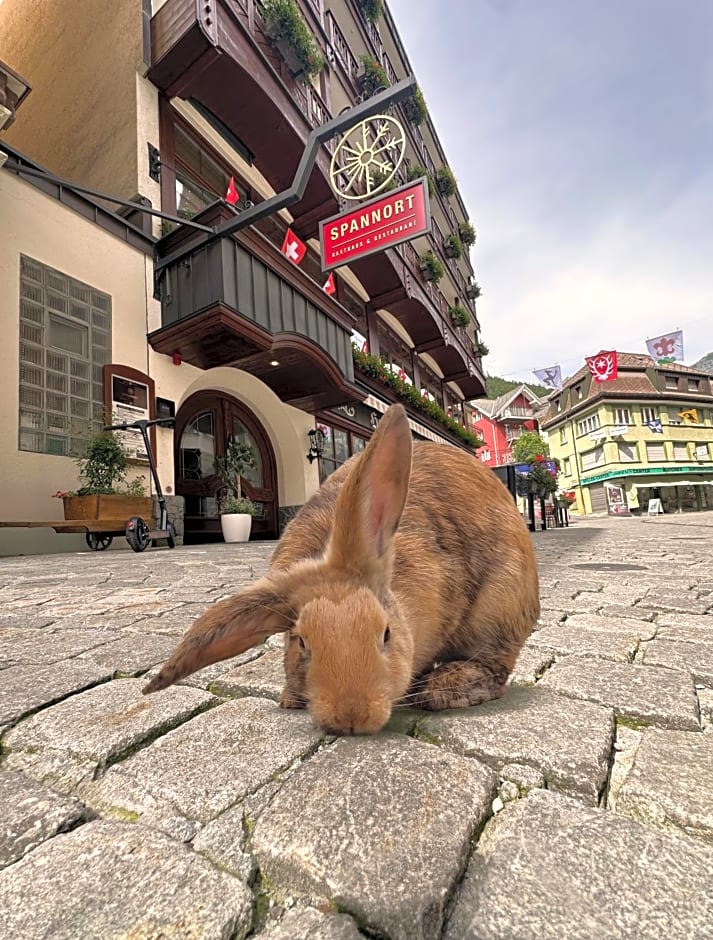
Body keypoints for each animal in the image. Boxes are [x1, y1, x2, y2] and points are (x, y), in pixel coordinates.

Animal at [142, 404, 536, 736]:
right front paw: (290, 698)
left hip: (499, 607)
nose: (352, 717)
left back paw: (444, 687)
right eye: (301, 641)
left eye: (386, 634)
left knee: (494, 664)